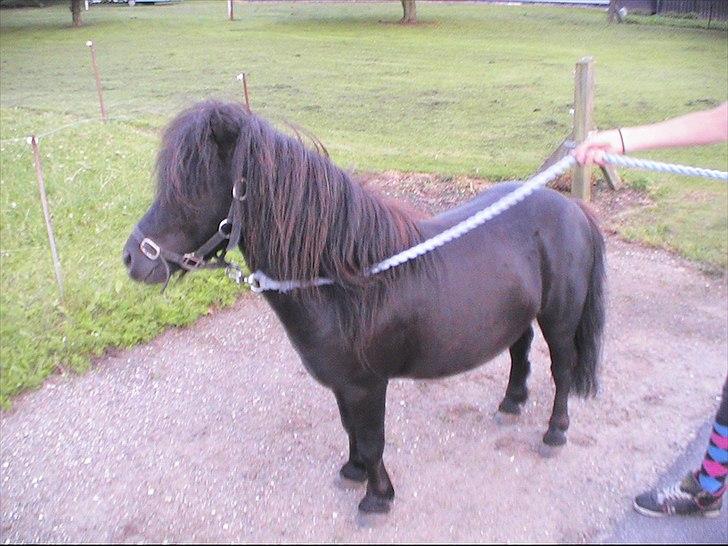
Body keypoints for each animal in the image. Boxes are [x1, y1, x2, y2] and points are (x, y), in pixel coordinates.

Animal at [123, 100, 606, 515]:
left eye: (192, 188)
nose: (132, 258)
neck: (347, 281)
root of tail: (572, 207)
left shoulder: (367, 384)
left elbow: (373, 438)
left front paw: (377, 498)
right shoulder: (345, 383)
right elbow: (350, 427)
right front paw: (353, 471)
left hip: (560, 320)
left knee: (561, 369)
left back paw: (555, 430)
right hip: (519, 315)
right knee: (519, 350)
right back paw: (511, 402)